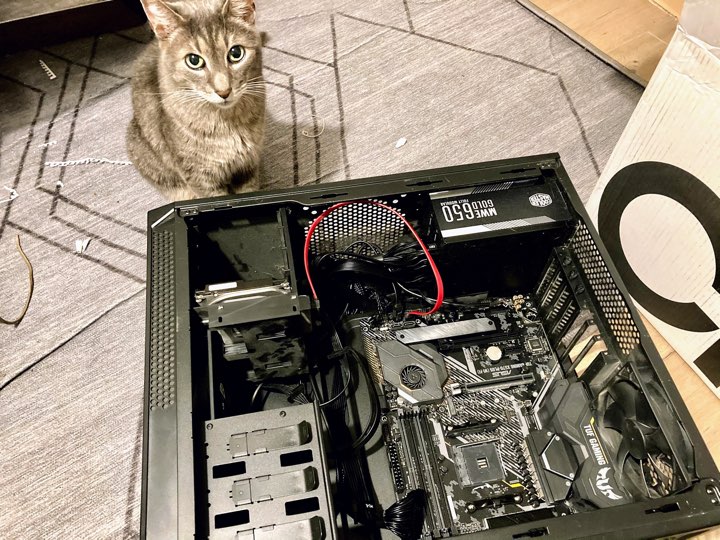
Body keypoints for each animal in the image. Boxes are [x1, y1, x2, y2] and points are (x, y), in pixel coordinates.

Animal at [128, 0, 266, 200]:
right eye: (194, 60)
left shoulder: (247, 167)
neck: (228, 124)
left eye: (236, 53)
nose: (224, 91)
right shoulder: (199, 177)